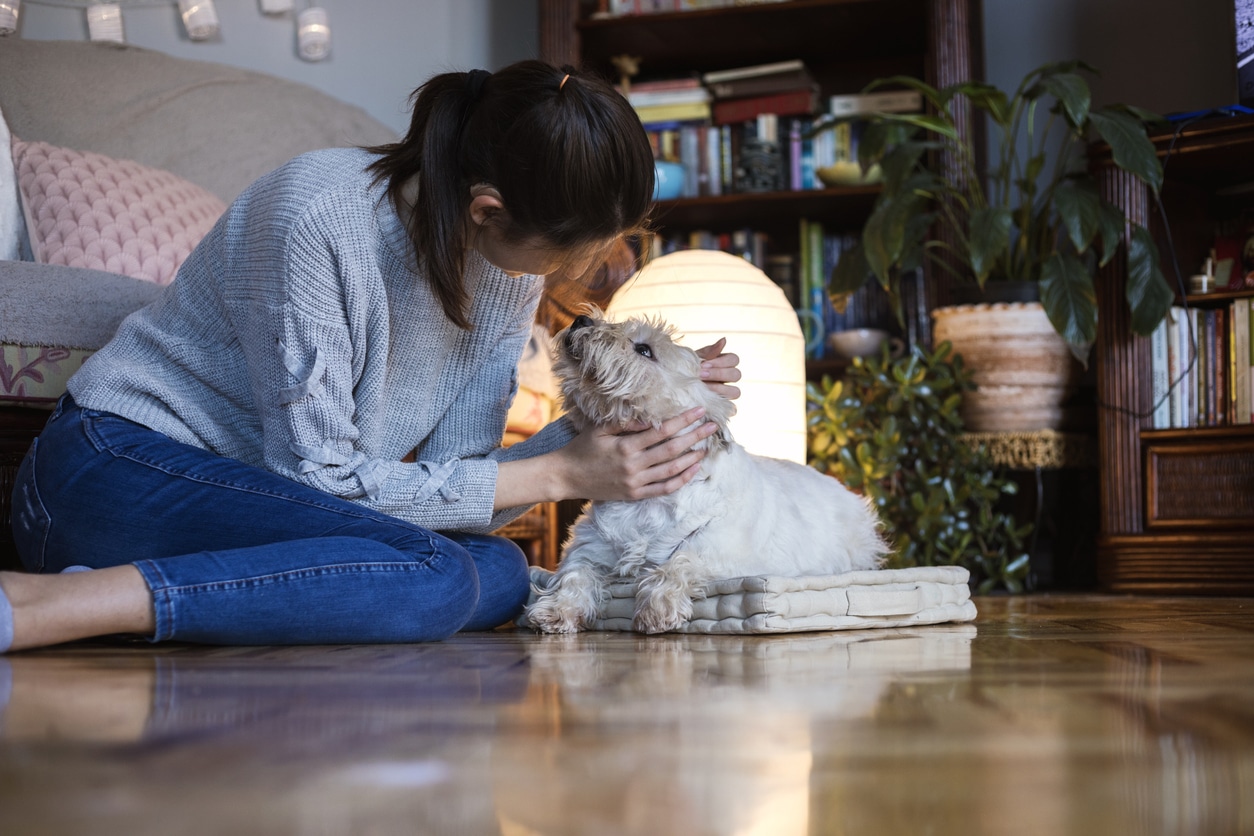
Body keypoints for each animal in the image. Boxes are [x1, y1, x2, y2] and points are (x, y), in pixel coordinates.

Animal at [521, 312, 892, 634]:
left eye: (644, 349)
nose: (580, 319)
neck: (646, 504)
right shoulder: (591, 545)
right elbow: (574, 573)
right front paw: (556, 612)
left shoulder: (726, 550)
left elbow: (681, 560)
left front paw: (657, 610)